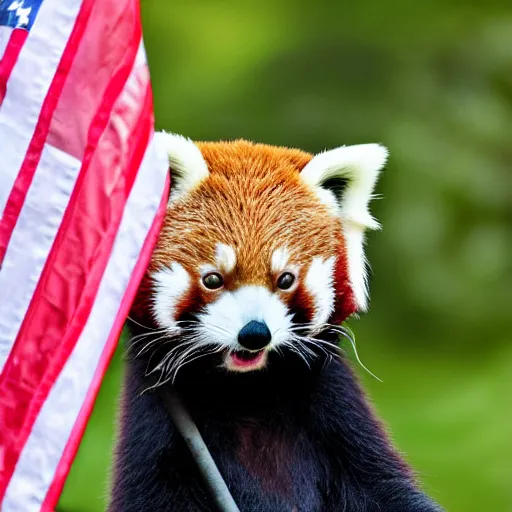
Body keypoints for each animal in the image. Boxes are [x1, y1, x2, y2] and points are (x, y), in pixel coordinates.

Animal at [110, 134, 442, 510]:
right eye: (213, 279)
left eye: (285, 279)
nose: (255, 334)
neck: (247, 390)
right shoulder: (157, 429)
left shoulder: (336, 408)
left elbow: (384, 488)